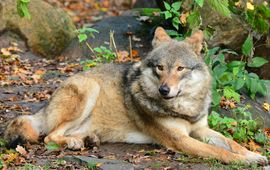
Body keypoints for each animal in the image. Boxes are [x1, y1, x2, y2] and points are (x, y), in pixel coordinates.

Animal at [4, 27, 268, 165]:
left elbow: (233, 144)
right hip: (90, 89)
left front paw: (255, 155)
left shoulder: (202, 129)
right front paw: (246, 162)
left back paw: (87, 139)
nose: (164, 90)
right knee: (49, 136)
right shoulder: (181, 140)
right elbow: (221, 152)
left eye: (180, 68)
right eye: (160, 68)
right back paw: (74, 142)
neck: (184, 107)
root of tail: (45, 106)